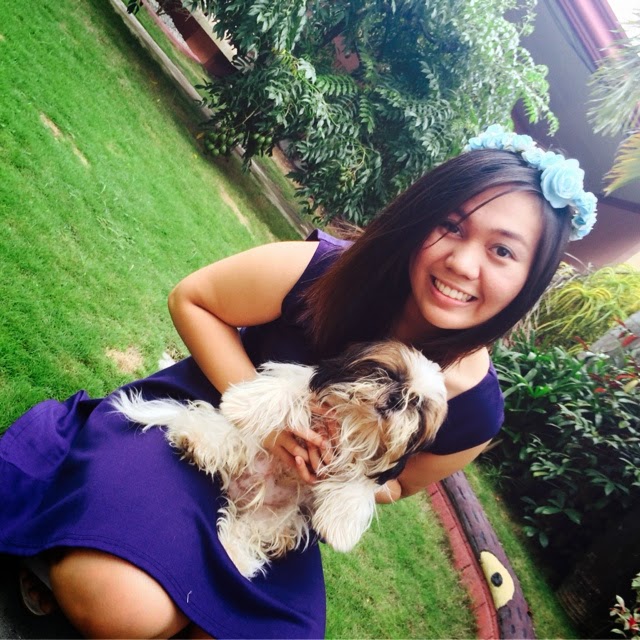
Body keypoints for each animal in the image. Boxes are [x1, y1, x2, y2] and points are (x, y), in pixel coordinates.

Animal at [113, 340, 447, 579]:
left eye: (418, 407)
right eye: (390, 375)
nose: (397, 400)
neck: (354, 422)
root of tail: (239, 491)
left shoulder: (374, 468)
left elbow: (360, 485)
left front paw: (341, 527)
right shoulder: (303, 382)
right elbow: (286, 386)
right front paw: (242, 404)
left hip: (273, 520)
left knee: (244, 534)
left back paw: (234, 556)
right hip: (247, 444)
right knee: (214, 434)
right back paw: (194, 439)